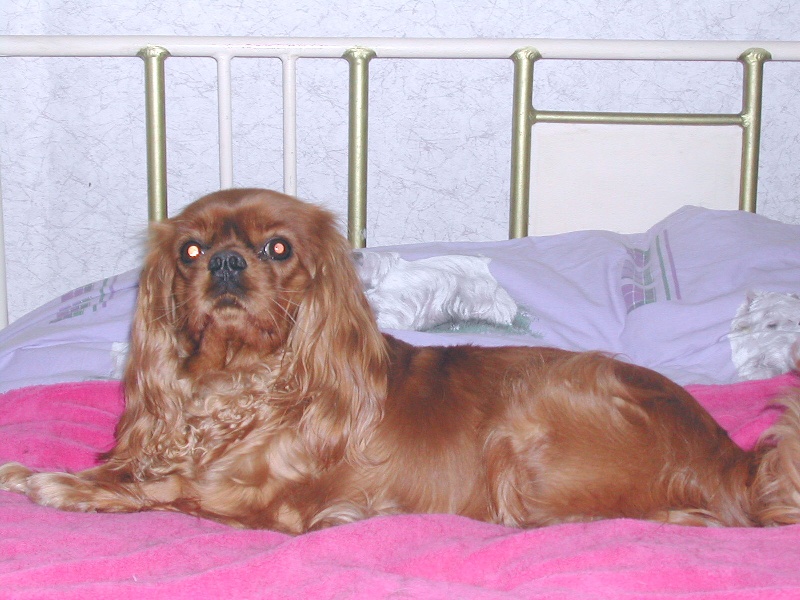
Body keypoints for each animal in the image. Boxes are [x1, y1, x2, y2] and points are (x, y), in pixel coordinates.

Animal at [2, 188, 800, 532]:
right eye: (192, 251)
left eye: (278, 247)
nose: (226, 263)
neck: (239, 388)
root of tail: (732, 460)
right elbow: (139, 471)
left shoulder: (277, 506)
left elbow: (167, 491)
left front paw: (57, 485)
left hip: (529, 420)